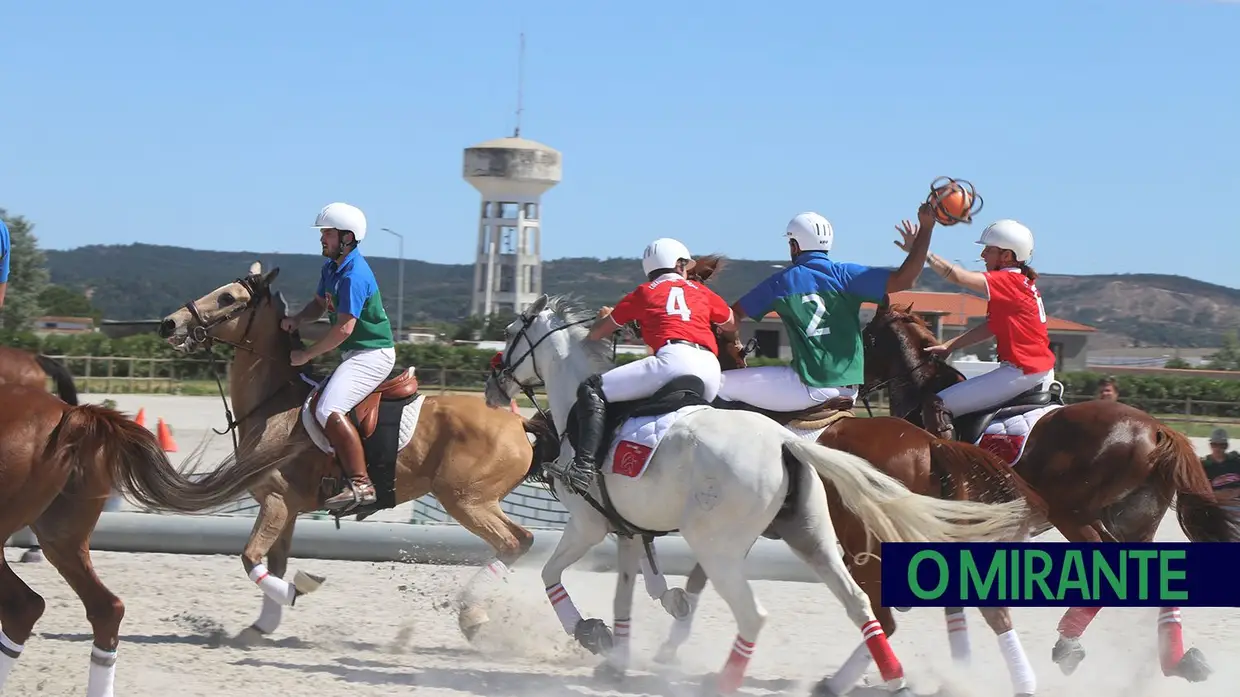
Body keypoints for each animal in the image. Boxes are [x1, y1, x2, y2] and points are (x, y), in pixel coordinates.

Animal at [157, 261, 560, 639]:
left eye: (227, 298)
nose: (169, 323)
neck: (273, 405)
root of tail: (516, 423)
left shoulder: (276, 501)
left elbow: (249, 556)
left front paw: (296, 590)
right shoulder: (286, 508)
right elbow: (273, 562)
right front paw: (261, 627)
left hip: (467, 500)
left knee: (515, 541)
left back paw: (471, 613)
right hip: (473, 501)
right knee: (518, 542)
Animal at [483, 291, 1036, 694]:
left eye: (510, 334)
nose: (492, 387)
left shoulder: (589, 523)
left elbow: (554, 577)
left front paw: (595, 634)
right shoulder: (627, 529)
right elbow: (636, 590)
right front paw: (625, 650)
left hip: (789, 545)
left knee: (811, 612)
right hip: (820, 538)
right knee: (873, 607)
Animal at [863, 297, 1230, 679]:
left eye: (867, 337)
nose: (855, 386)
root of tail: (1157, 429)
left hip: (1071, 513)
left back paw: (1069, 644)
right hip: (1132, 520)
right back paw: (1179, 660)